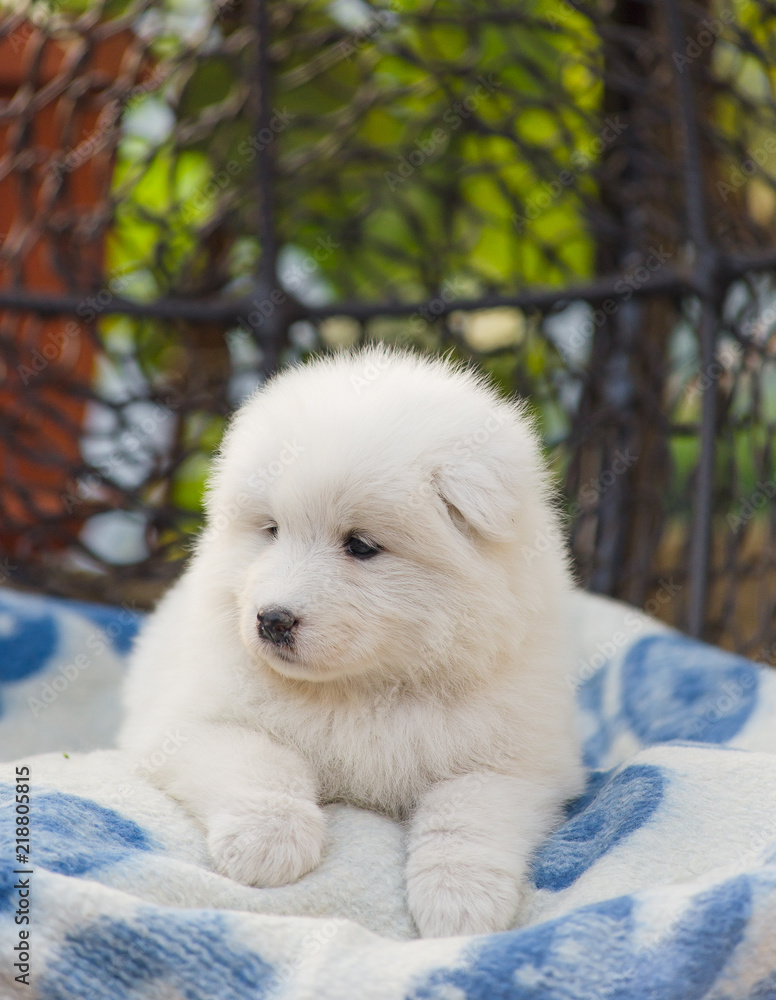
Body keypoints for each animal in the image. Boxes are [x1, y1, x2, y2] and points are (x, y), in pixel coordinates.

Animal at [119, 345, 584, 937]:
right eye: (272, 530)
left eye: (360, 546)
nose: (272, 621)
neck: (363, 688)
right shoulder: (186, 724)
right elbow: (260, 757)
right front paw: (269, 840)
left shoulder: (525, 760)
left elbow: (468, 809)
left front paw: (460, 899)